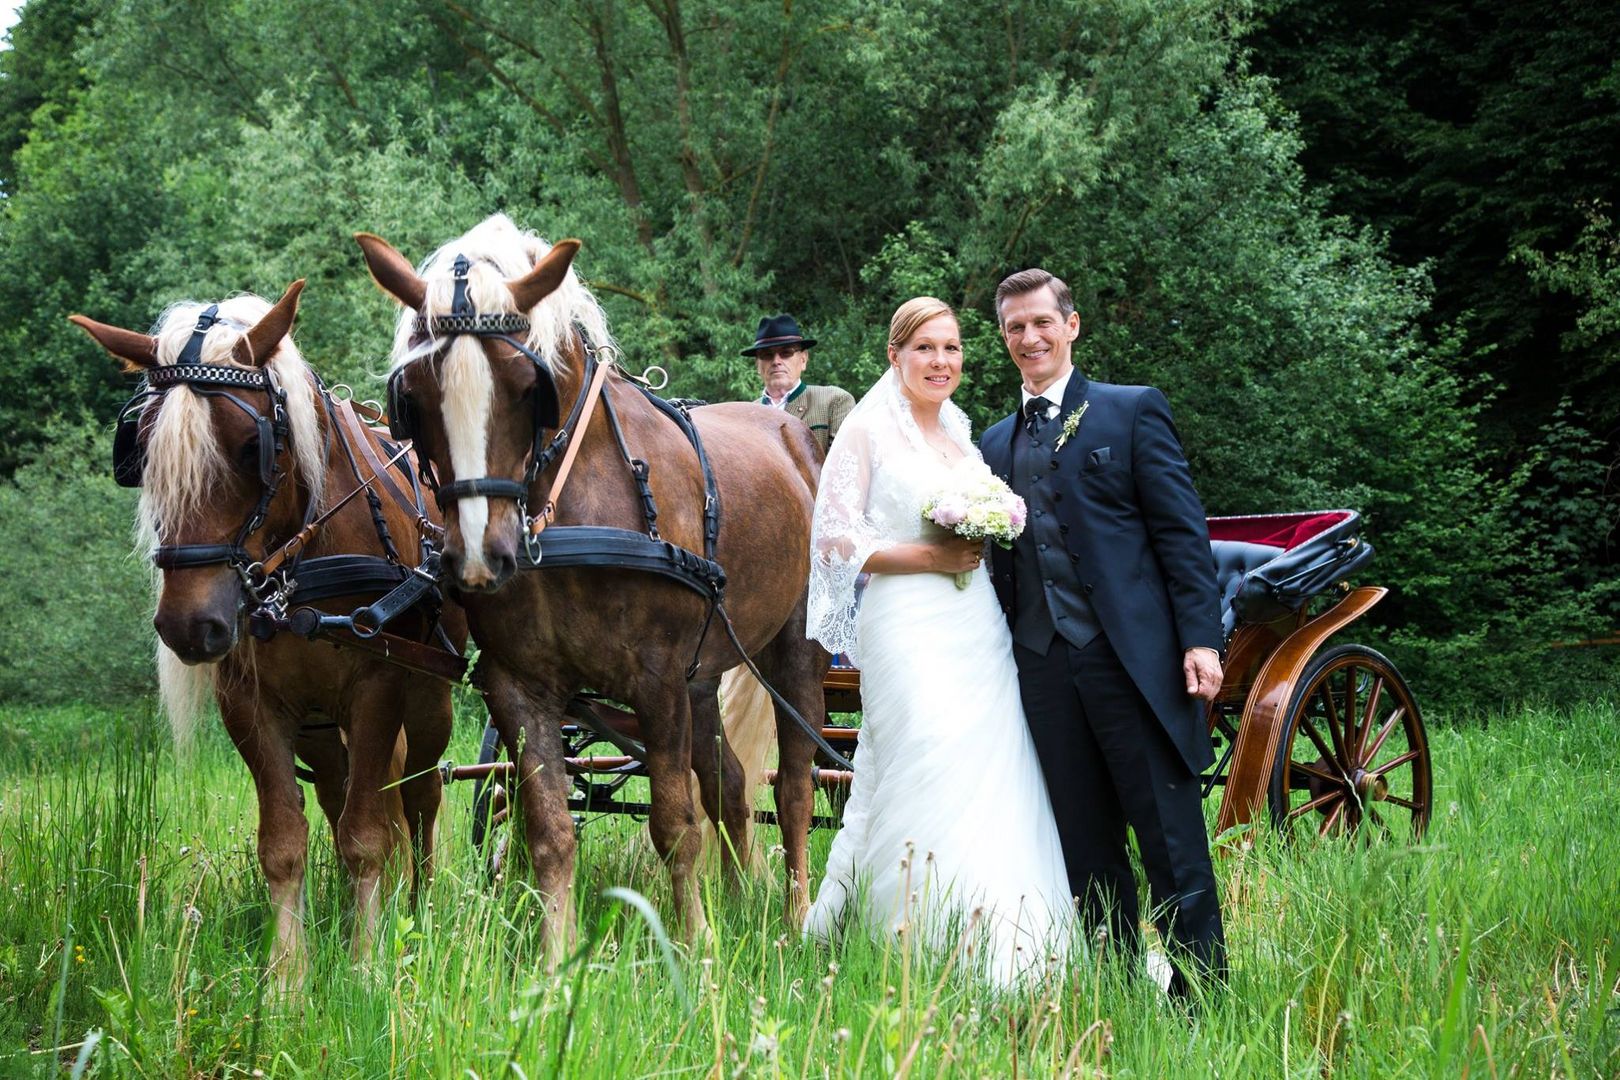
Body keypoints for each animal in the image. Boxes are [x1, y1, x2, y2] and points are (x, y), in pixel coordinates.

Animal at [72, 286, 466, 990]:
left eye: (248, 447)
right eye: (139, 451)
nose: (190, 625)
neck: (298, 567)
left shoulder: (377, 687)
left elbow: (367, 834)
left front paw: (366, 967)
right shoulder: (249, 703)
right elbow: (284, 843)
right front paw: (288, 978)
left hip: (426, 701)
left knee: (418, 797)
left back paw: (416, 908)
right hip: (319, 727)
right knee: (340, 798)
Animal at [359, 215, 829, 958]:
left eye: (529, 385)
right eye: (416, 394)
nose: (481, 556)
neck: (566, 511)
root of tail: (794, 435)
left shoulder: (658, 679)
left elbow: (673, 824)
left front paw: (694, 948)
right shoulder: (517, 685)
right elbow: (549, 829)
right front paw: (555, 960)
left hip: (794, 651)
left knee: (793, 790)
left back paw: (792, 919)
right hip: (704, 673)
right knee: (726, 784)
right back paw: (737, 900)